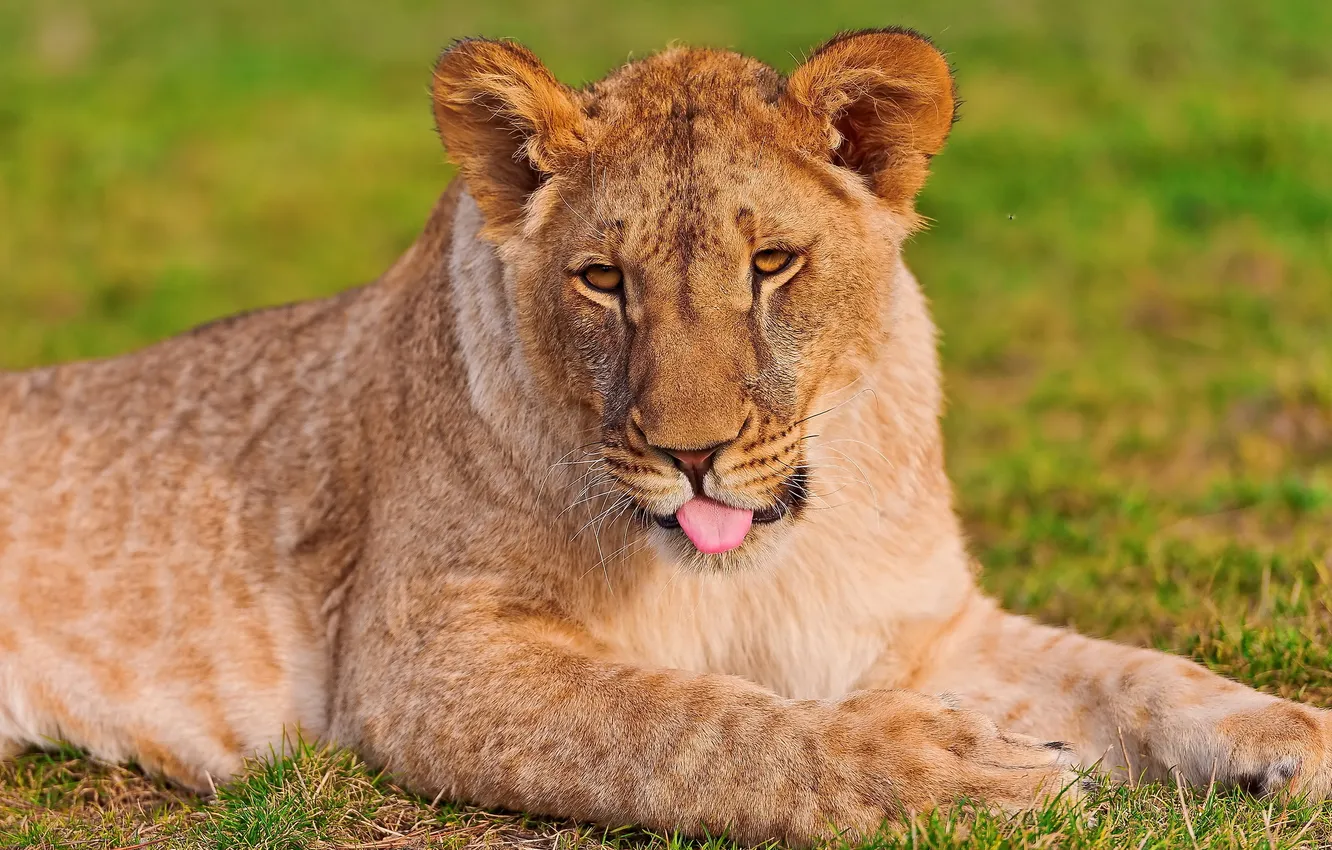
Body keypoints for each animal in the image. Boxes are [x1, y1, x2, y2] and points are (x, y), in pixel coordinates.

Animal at [1, 29, 1329, 845]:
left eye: (772, 262)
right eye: (603, 280)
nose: (693, 454)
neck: (768, 556)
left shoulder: (918, 626)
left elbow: (1136, 672)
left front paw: (1294, 737)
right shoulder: (419, 659)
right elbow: (686, 725)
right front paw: (955, 776)